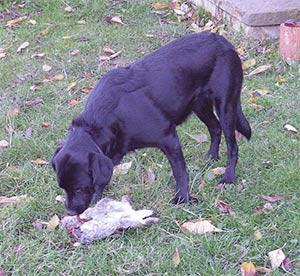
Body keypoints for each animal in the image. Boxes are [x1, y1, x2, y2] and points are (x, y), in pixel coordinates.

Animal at [51, 33, 251, 216]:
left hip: (226, 105)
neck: (112, 114)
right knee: (215, 128)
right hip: (199, 105)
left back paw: (228, 177)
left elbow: (180, 172)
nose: (69, 212)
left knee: (232, 145)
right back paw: (211, 157)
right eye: (62, 188)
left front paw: (182, 198)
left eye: (79, 188)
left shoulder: (169, 139)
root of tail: (224, 41)